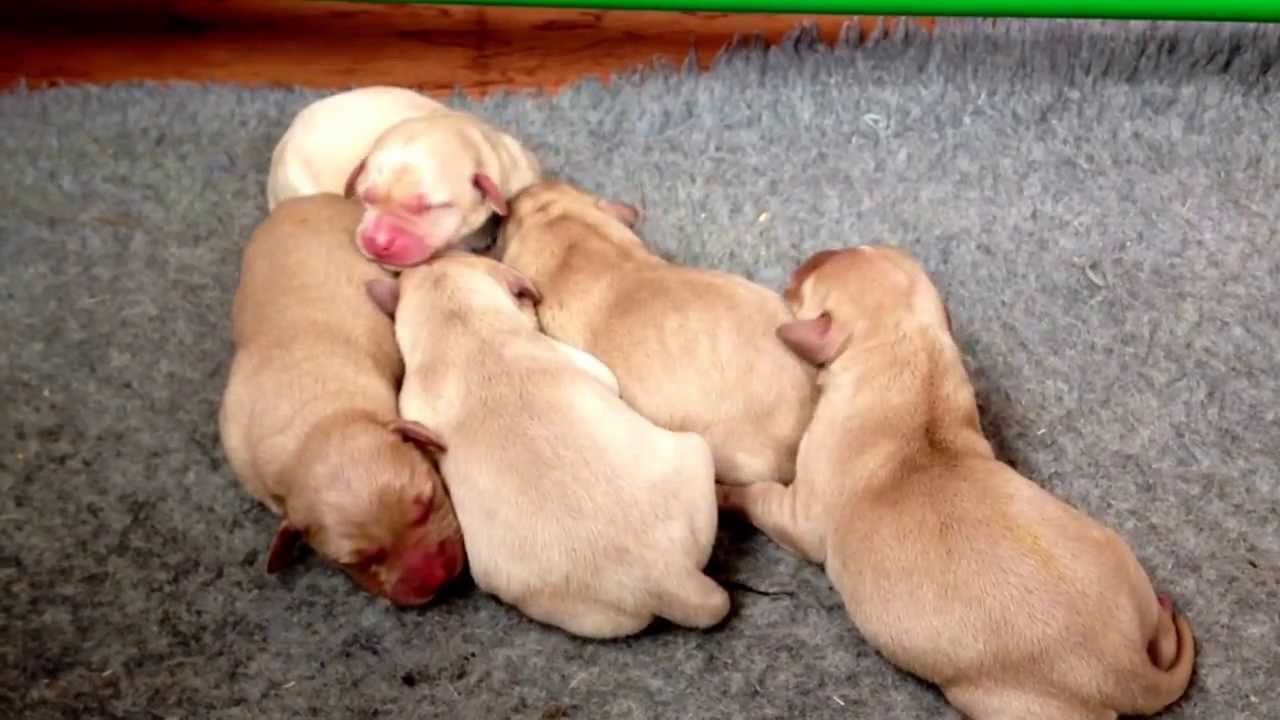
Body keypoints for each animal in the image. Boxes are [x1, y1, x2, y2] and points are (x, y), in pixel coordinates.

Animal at [721, 243, 1198, 712]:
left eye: (806, 285)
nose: (805, 261)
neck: (911, 359)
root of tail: (1126, 671)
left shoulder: (799, 516)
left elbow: (759, 496)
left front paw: (725, 492)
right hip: (1122, 563)